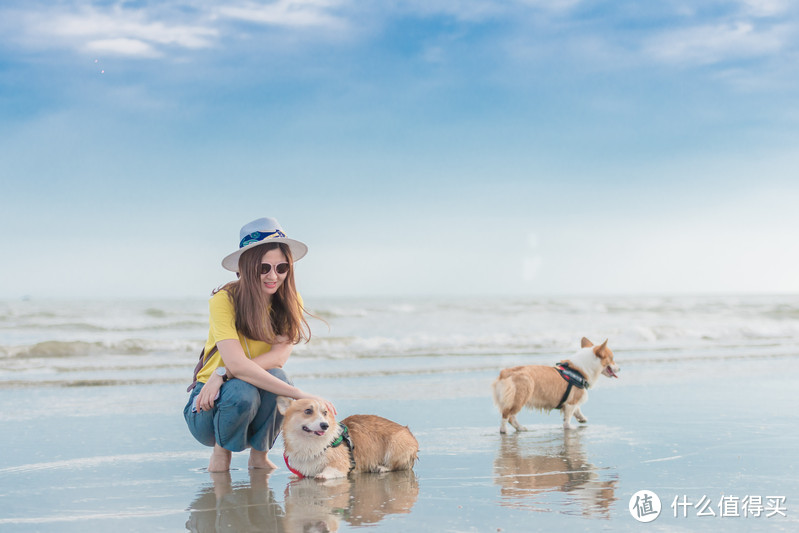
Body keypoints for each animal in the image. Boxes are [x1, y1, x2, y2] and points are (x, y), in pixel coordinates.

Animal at [276, 394, 418, 478]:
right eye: (308, 411)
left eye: (325, 413)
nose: (325, 425)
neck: (310, 444)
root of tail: (407, 431)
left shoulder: (340, 465)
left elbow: (328, 471)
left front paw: (322, 475)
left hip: (396, 444)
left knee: (395, 465)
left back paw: (381, 467)